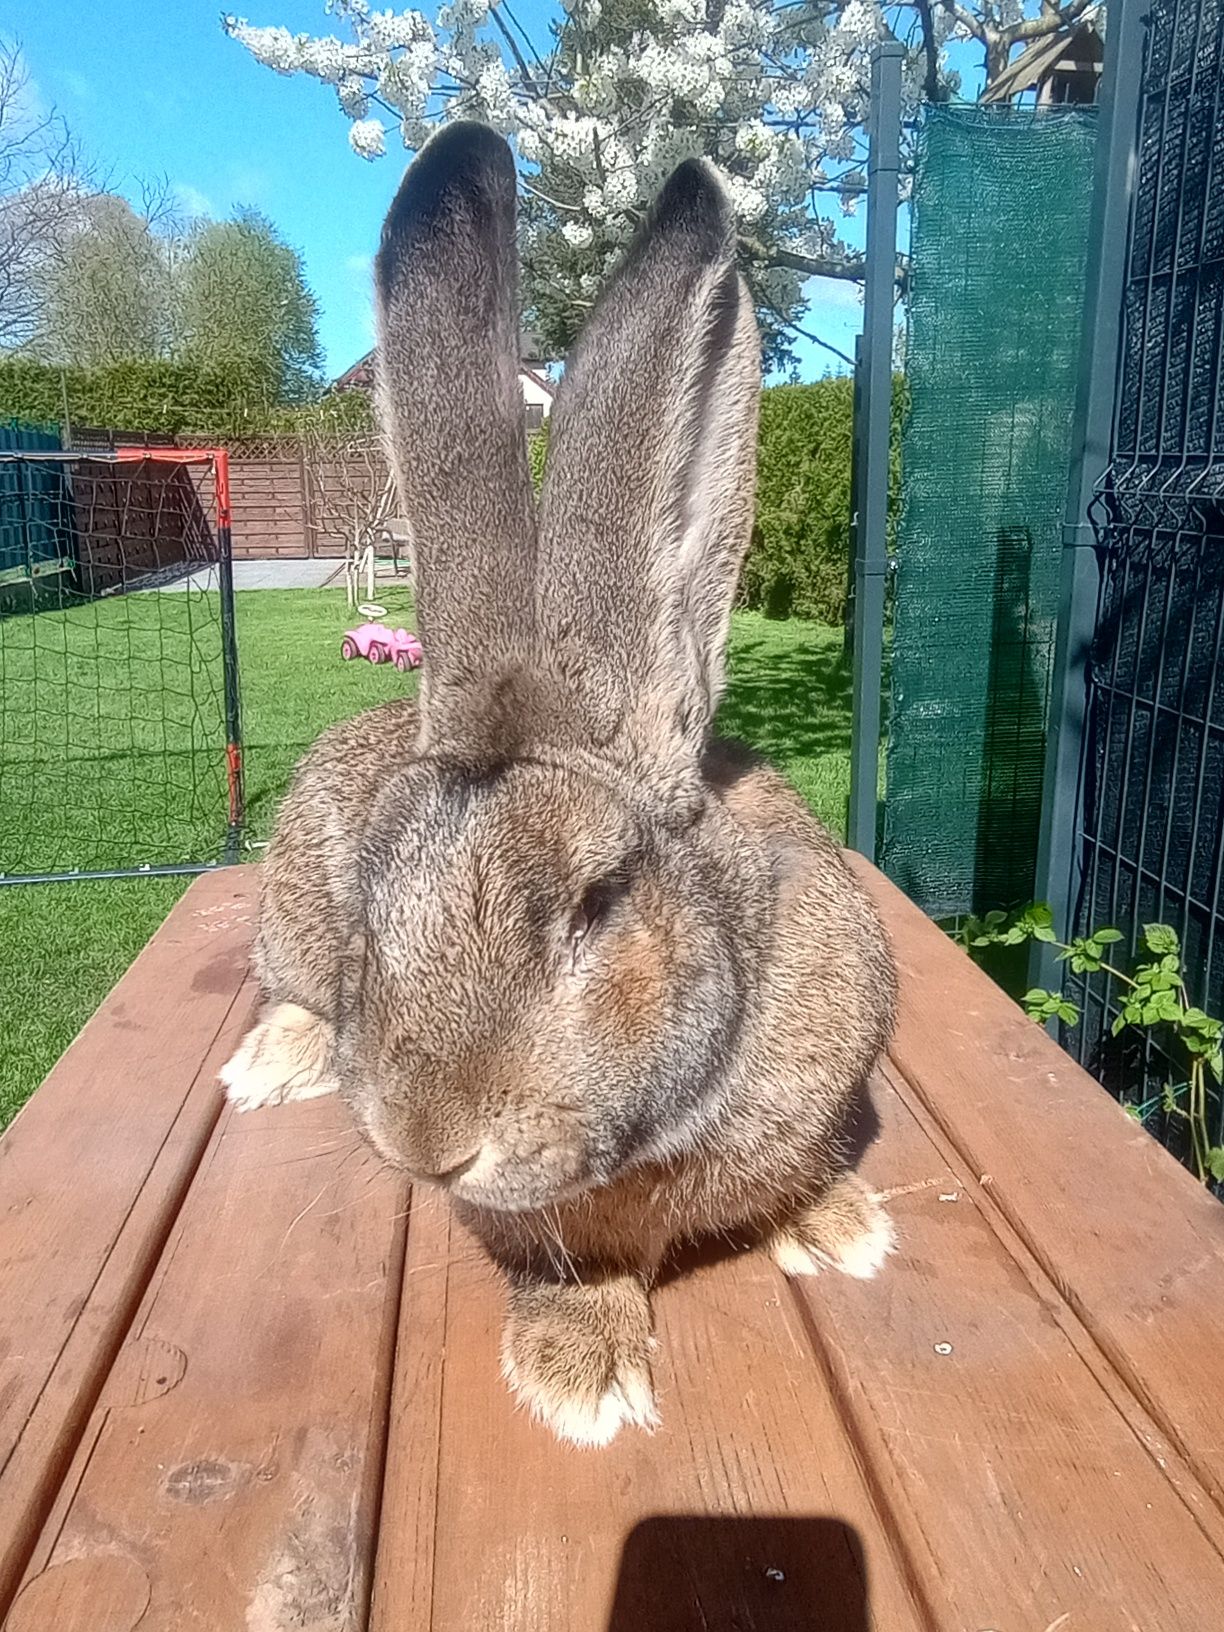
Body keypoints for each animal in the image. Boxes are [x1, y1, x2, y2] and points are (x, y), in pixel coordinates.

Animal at [220, 130, 894, 1455]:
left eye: (595, 903)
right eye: (380, 917)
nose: (426, 1145)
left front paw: (845, 1228)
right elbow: (573, 1264)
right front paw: (580, 1372)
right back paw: (271, 1066)